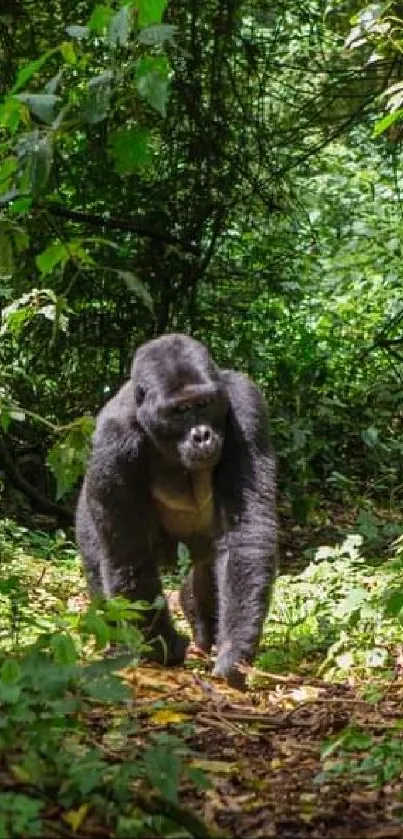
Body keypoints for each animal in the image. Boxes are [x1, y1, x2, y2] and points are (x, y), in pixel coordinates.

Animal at [76, 332, 278, 684]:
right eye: (179, 411)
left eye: (204, 404)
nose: (202, 436)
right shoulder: (112, 440)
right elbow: (129, 554)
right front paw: (163, 647)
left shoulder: (245, 403)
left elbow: (246, 532)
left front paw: (234, 651)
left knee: (208, 567)